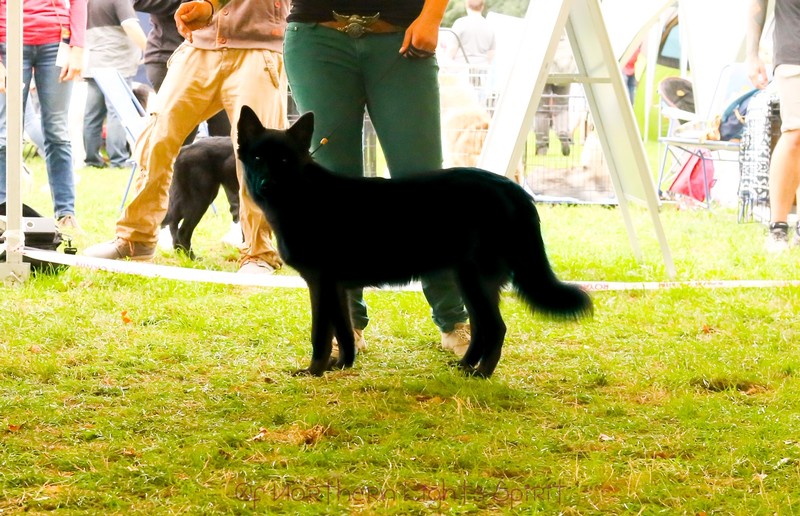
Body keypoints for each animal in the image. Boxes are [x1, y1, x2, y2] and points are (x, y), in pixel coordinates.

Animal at [236, 105, 592, 378]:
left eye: (284, 161)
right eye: (257, 158)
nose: (266, 185)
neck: (304, 197)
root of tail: (509, 187)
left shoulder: (320, 285)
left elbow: (320, 334)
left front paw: (314, 371)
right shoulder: (336, 288)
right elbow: (344, 332)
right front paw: (342, 365)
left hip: (476, 280)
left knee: (496, 328)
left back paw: (482, 374)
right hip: (470, 280)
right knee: (482, 328)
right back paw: (464, 367)